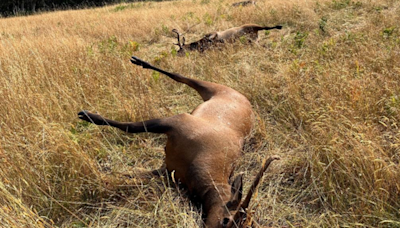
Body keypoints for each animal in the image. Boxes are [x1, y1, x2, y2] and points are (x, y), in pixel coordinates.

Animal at [77, 56, 278, 227]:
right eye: (226, 220)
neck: (205, 158)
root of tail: (243, 97)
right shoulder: (174, 122)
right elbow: (130, 127)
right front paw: (88, 116)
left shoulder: (166, 170)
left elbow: (129, 174)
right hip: (209, 87)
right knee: (180, 76)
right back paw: (139, 62)